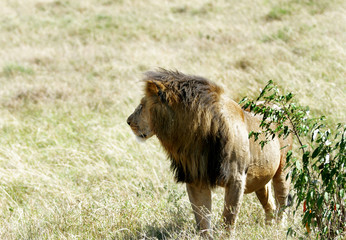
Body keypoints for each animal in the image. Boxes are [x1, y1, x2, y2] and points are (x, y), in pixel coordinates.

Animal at [125, 69, 290, 236]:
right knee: (269, 205)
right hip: (261, 177)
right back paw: (269, 228)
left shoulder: (236, 178)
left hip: (282, 171)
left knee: (282, 202)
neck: (193, 135)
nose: (128, 121)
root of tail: (276, 105)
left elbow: (228, 218)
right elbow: (202, 218)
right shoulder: (196, 179)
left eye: (141, 105)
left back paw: (279, 229)